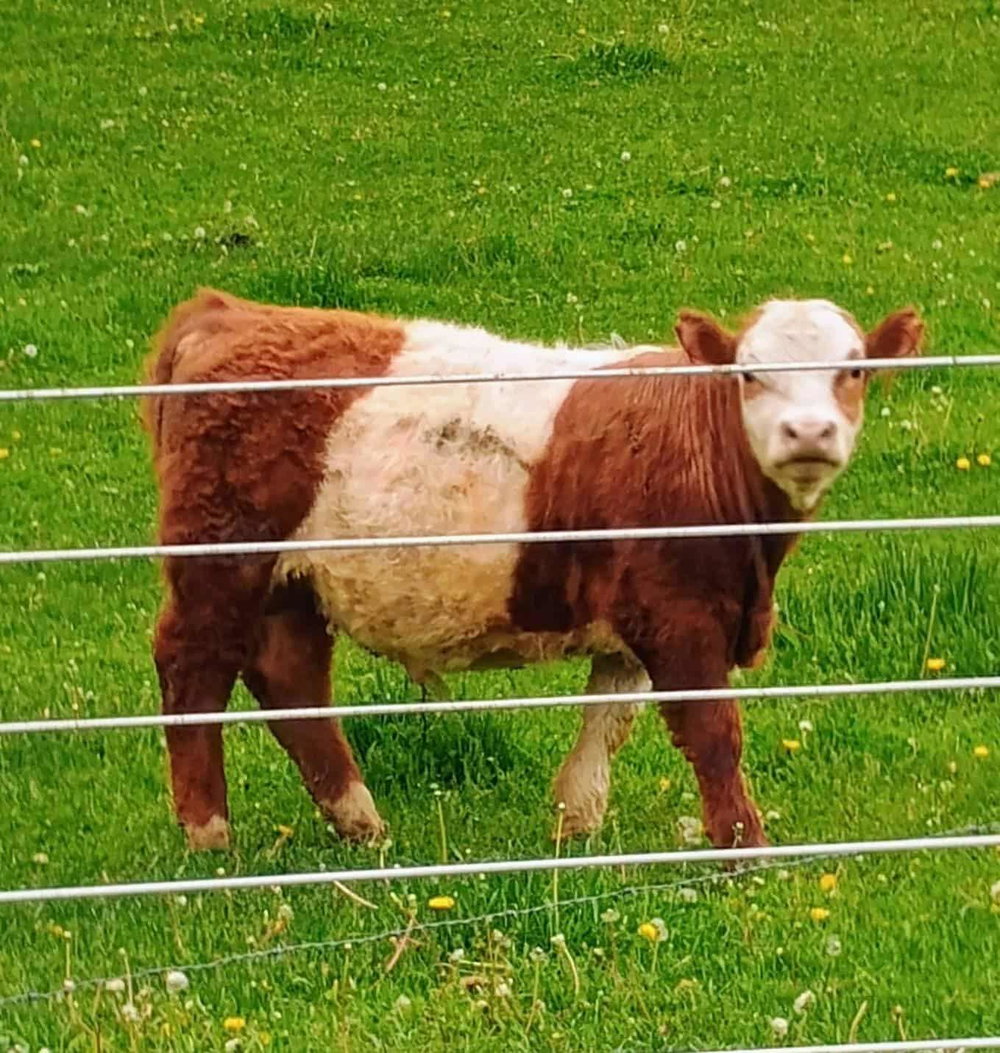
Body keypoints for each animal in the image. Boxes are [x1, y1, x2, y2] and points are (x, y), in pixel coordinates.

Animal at [143, 290, 922, 853]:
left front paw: (576, 820)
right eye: (749, 373)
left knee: (291, 681)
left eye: (854, 369)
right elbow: (713, 733)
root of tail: (229, 312)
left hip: (293, 584)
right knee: (191, 669)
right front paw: (743, 848)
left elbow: (609, 716)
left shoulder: (635, 621)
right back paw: (209, 834)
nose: (809, 432)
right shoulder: (681, 615)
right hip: (221, 559)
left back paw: (361, 823)